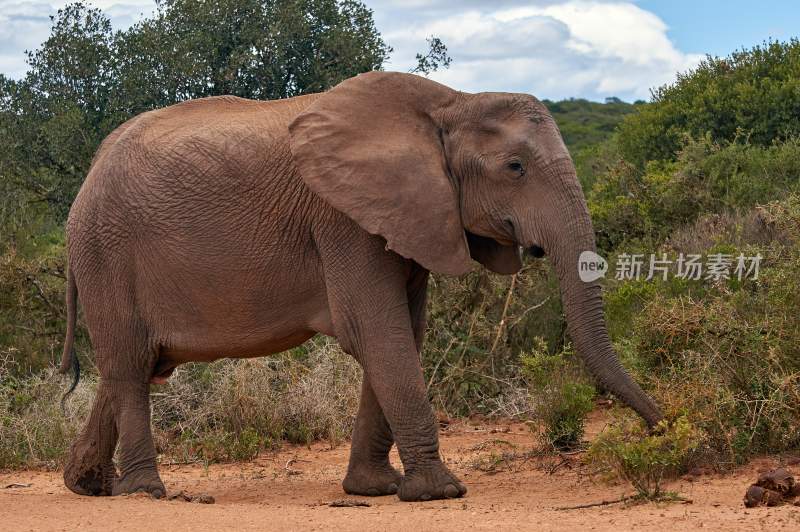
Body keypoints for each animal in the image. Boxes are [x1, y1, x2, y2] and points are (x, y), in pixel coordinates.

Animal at [59, 71, 664, 502]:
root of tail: (87, 178)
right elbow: (376, 331)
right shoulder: (342, 219)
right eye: (514, 167)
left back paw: (87, 486)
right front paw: (439, 493)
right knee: (130, 366)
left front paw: (375, 490)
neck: (451, 102)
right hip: (106, 252)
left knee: (134, 366)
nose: (663, 428)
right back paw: (146, 493)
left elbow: (402, 334)